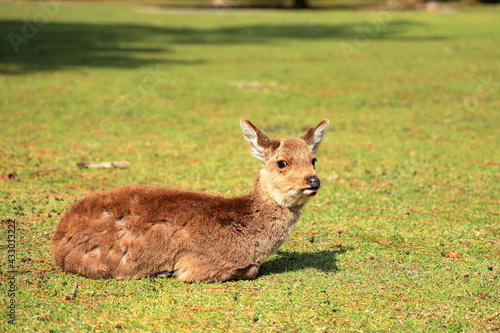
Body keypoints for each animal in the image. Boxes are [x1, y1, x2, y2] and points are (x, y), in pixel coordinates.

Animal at [52, 118, 330, 282]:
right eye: (282, 162)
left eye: (313, 160)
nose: (313, 181)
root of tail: (58, 240)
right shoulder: (200, 264)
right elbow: (250, 271)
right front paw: (168, 271)